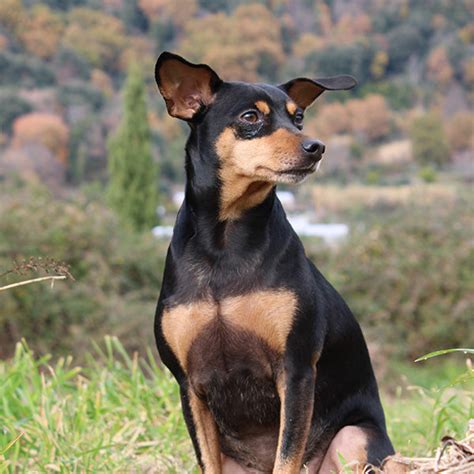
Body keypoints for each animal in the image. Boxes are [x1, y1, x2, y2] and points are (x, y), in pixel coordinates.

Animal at [154, 50, 394, 472]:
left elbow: (286, 454)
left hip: (355, 438)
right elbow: (207, 459)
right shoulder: (189, 385)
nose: (316, 146)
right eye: (251, 117)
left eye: (298, 118)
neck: (226, 242)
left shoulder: (296, 370)